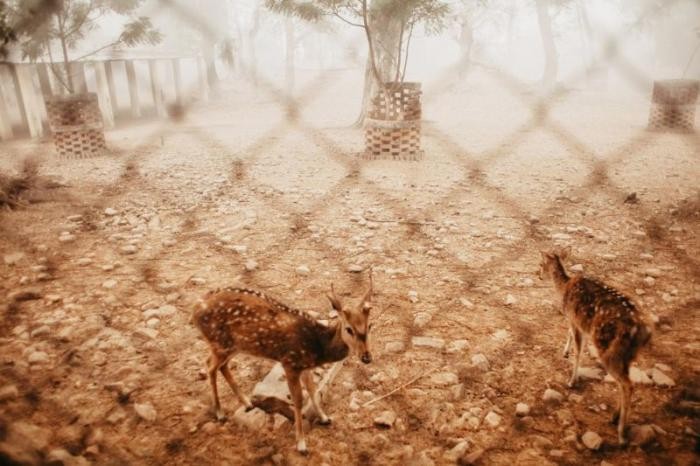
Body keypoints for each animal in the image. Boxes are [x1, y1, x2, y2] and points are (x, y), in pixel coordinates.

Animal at [193, 272, 372, 454]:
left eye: (370, 326)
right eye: (349, 329)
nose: (366, 357)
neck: (317, 347)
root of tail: (195, 309)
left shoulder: (305, 367)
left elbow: (313, 390)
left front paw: (324, 418)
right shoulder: (290, 363)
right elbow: (298, 401)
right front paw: (301, 444)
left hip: (234, 346)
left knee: (220, 366)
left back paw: (247, 403)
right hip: (219, 343)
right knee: (210, 366)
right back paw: (220, 413)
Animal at [540, 248, 652, 444]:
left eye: (540, 264)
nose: (537, 274)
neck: (564, 287)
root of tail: (642, 332)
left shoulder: (575, 320)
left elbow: (578, 350)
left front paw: (571, 381)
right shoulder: (576, 322)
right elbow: (570, 335)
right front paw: (565, 352)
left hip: (608, 348)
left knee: (627, 384)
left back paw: (622, 433)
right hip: (627, 355)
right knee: (625, 382)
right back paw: (615, 417)